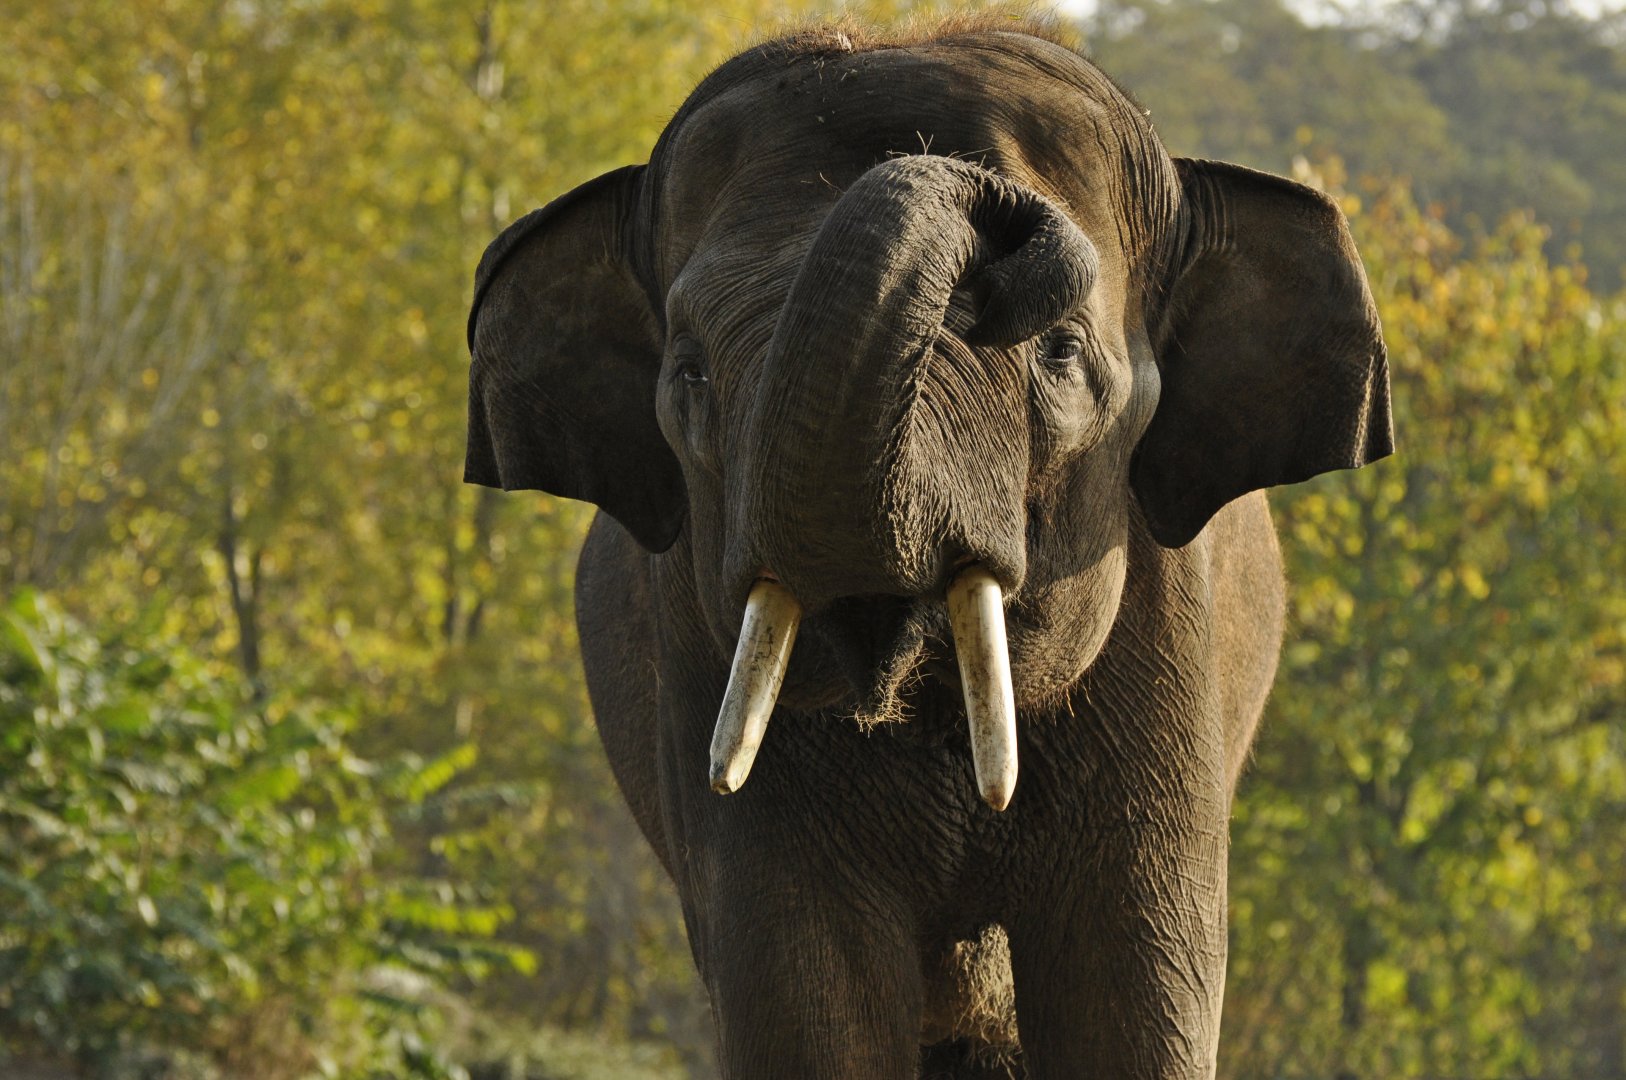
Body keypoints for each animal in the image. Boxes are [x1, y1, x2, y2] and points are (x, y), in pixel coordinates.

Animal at [463, 17, 1392, 1080]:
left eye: (1062, 353)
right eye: (690, 374)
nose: (1006, 222)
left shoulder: (1168, 655)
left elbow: (1133, 987)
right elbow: (803, 992)